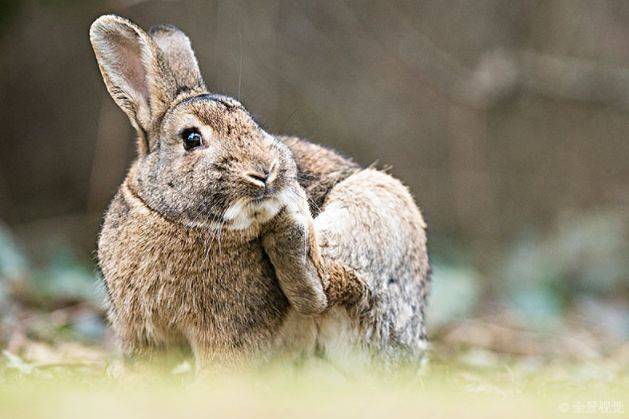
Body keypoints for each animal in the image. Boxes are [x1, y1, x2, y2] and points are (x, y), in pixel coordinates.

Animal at [91, 14, 430, 372]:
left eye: (252, 123)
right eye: (191, 138)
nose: (265, 172)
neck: (172, 218)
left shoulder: (228, 336)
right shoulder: (142, 336)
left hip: (375, 208)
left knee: (329, 287)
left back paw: (290, 232)